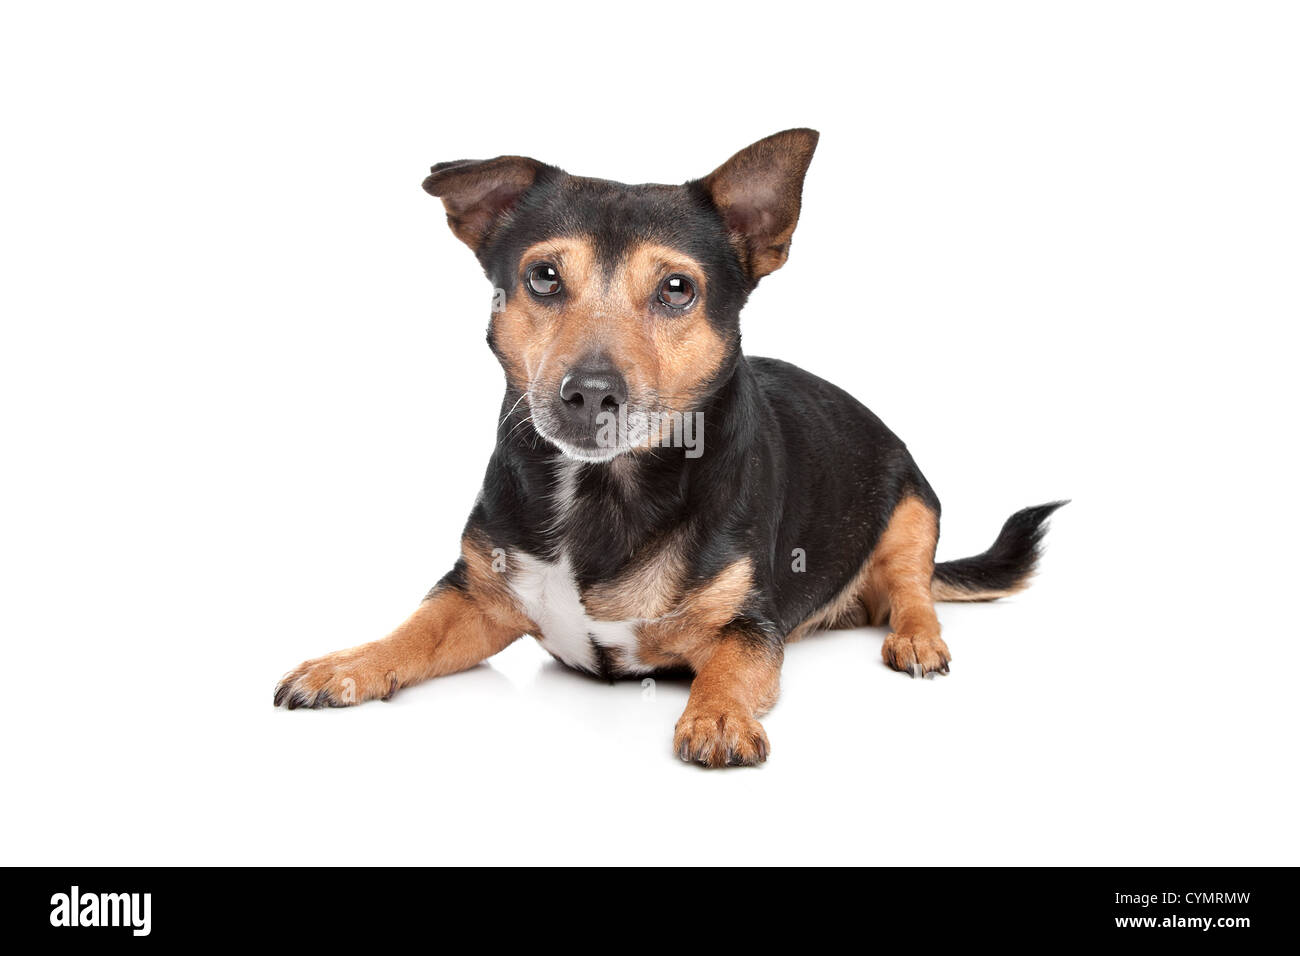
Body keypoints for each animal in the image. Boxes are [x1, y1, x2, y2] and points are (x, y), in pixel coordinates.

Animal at [274, 128, 1066, 770]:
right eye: (543, 277)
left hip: (911, 509)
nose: (589, 392)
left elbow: (730, 668)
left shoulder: (750, 625)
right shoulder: (475, 596)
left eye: (678, 289)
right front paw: (347, 663)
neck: (600, 491)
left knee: (911, 589)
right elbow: (415, 630)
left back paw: (917, 639)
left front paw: (717, 717)